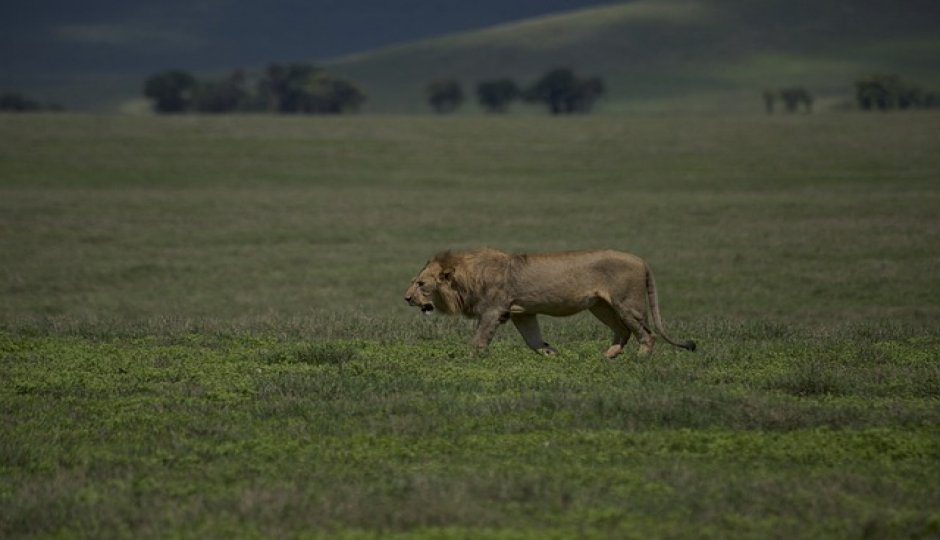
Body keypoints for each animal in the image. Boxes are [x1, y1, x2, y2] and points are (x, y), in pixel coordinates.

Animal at [404, 249, 696, 358]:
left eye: (421, 284)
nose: (406, 298)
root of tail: (641, 260)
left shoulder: (493, 310)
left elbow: (479, 340)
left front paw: (469, 359)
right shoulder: (521, 313)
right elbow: (534, 340)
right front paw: (552, 354)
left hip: (627, 304)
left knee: (647, 334)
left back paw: (640, 358)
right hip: (600, 306)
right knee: (622, 331)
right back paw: (607, 356)